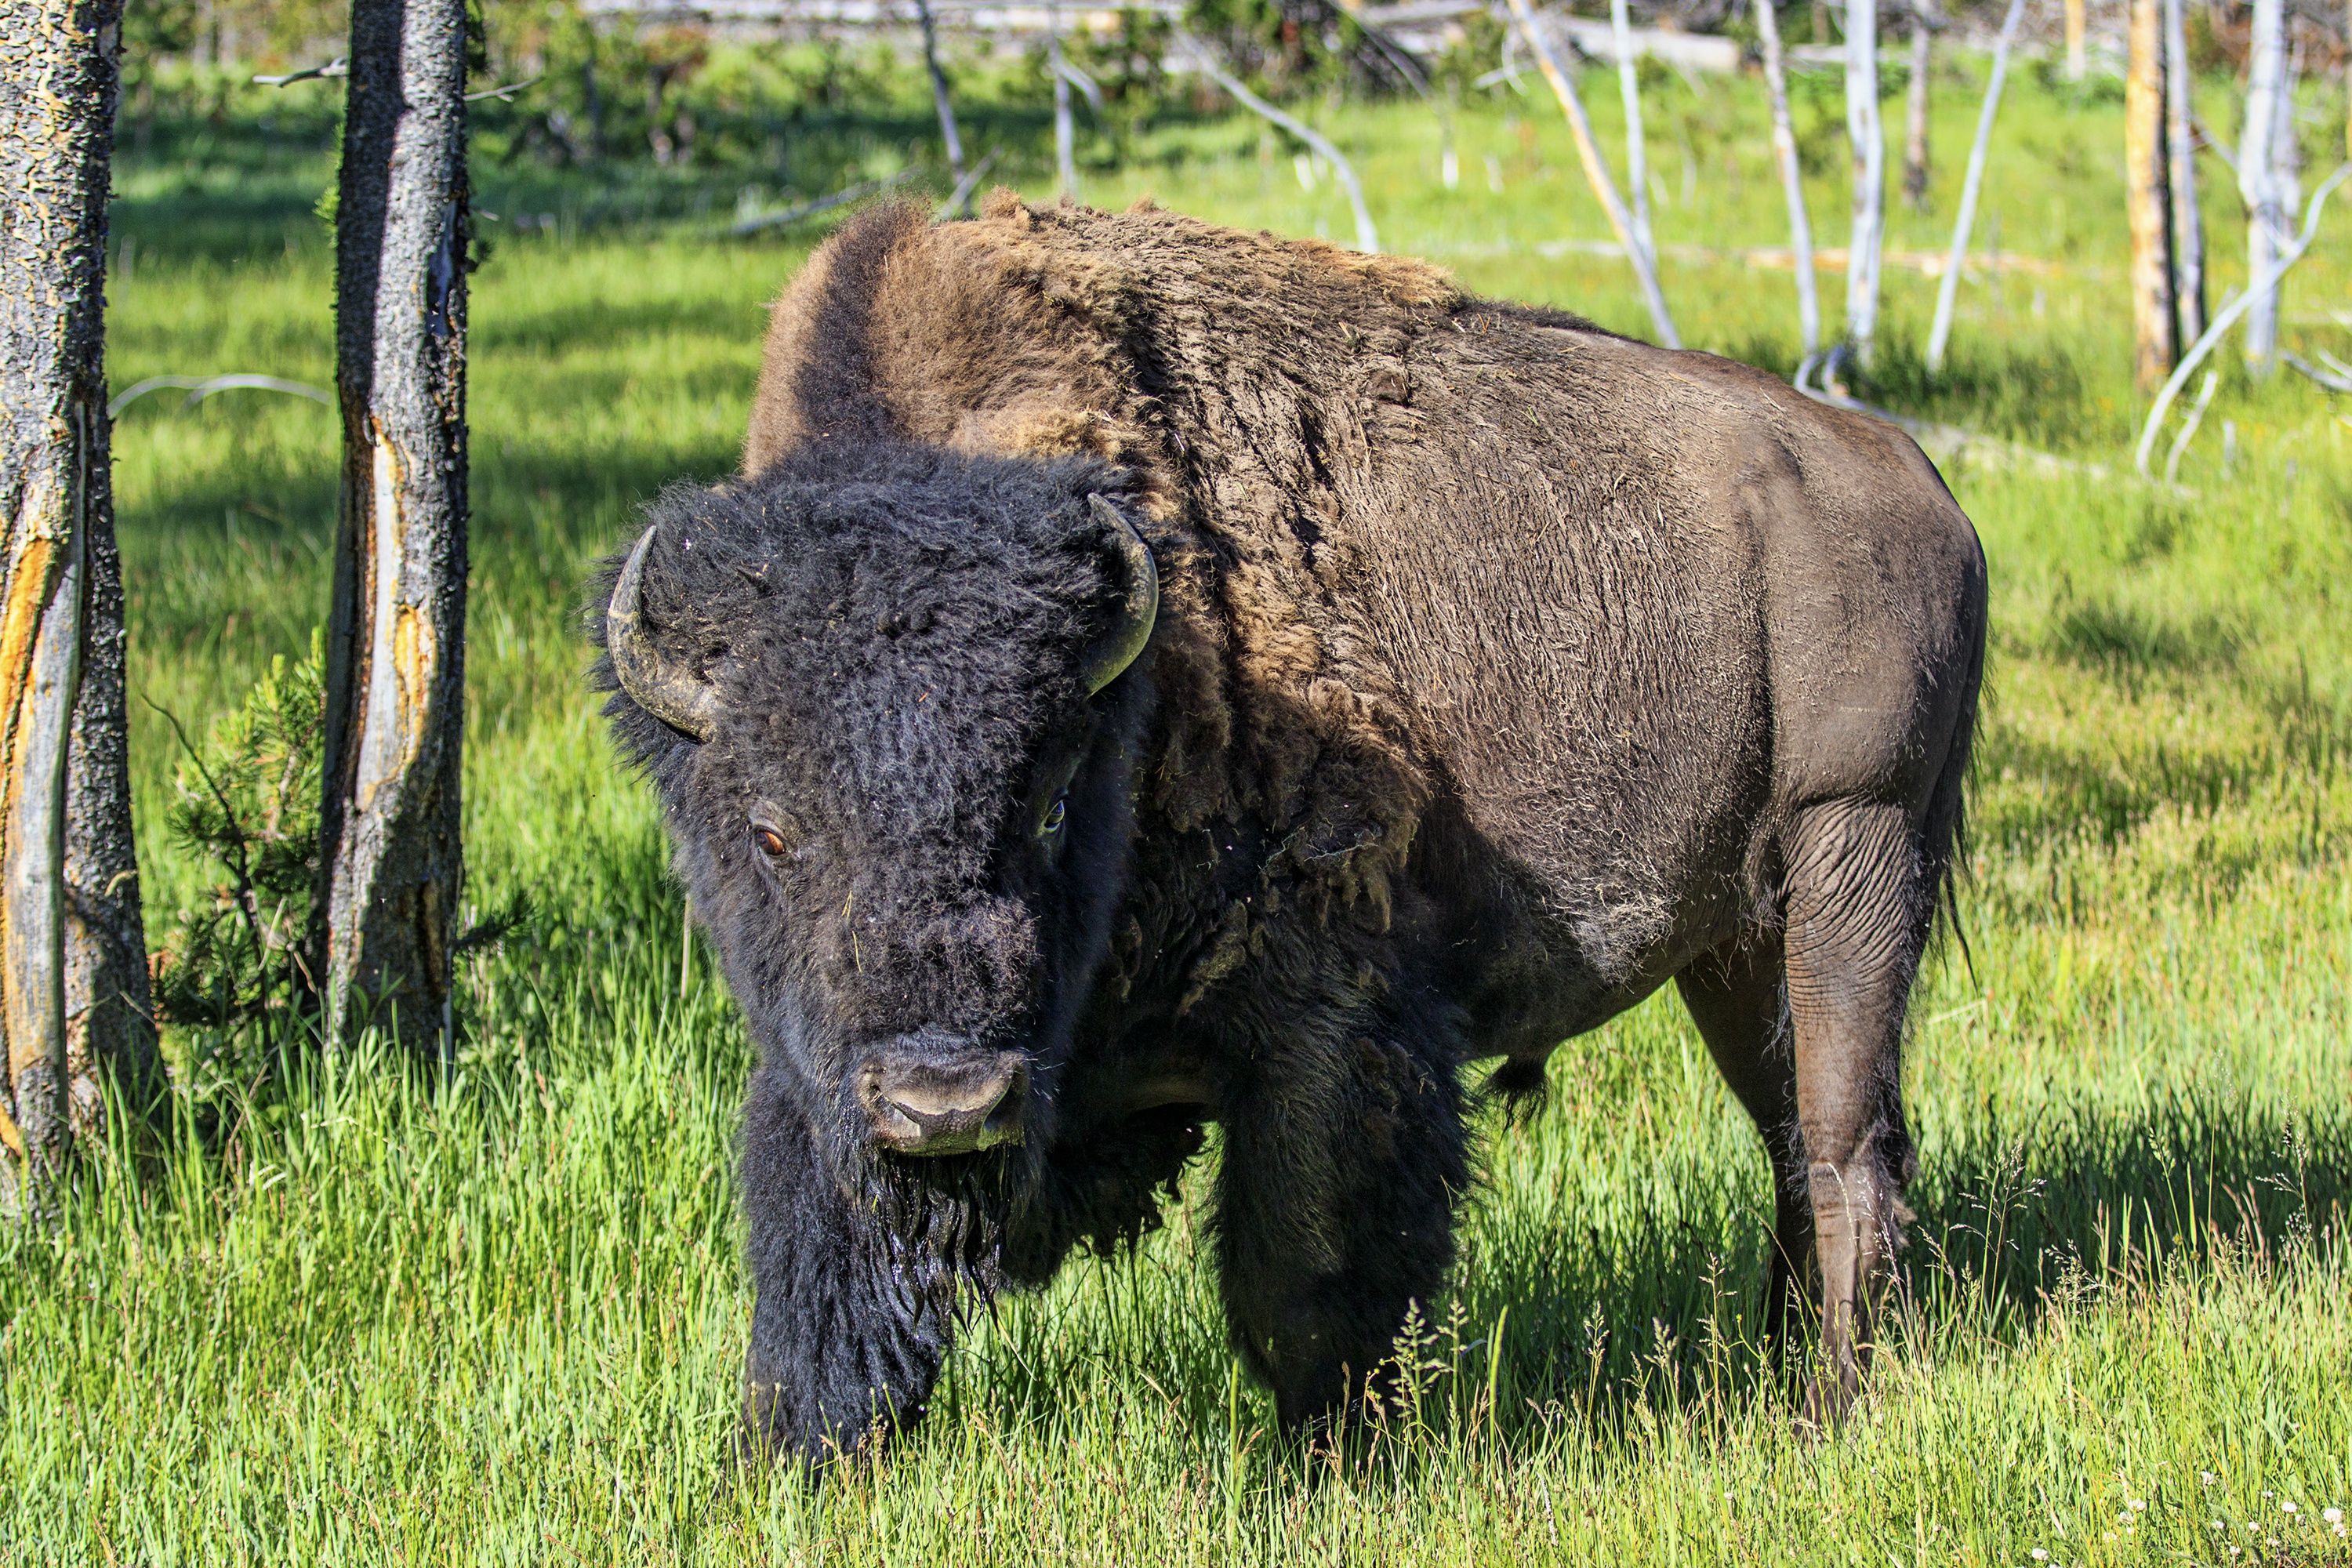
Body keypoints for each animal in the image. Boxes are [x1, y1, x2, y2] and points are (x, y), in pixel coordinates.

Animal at [593, 192, 1985, 1457]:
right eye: (771, 832)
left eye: (1052, 801)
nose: (946, 1101)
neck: (1146, 661)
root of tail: (1922, 484)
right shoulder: (812, 1068)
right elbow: (814, 1291)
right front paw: (798, 1463)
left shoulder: (1325, 1025)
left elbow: (1304, 1281)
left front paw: (1331, 1459)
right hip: (1737, 939)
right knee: (1793, 1137)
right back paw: (1781, 1372)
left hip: (1858, 852)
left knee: (1852, 1148)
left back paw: (1833, 1411)